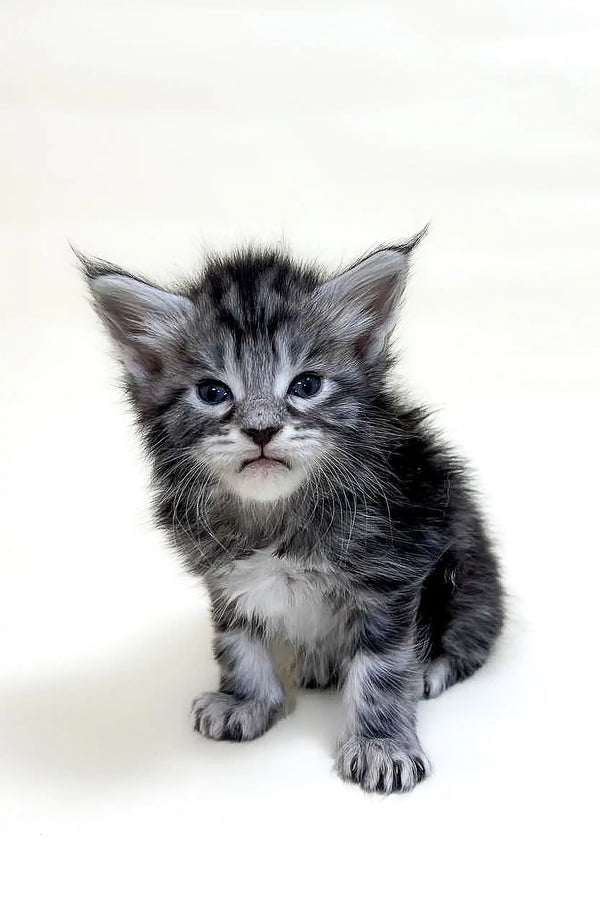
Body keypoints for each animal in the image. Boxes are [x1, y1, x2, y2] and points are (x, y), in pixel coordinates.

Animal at [79, 236, 502, 800]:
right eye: (213, 392)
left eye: (306, 385)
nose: (262, 430)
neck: (274, 515)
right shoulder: (224, 577)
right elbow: (236, 642)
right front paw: (245, 701)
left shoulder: (394, 571)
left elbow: (383, 667)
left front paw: (381, 744)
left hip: (470, 573)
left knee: (470, 634)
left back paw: (430, 670)